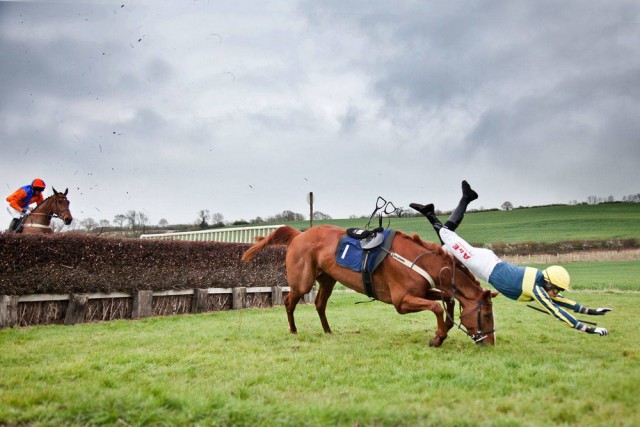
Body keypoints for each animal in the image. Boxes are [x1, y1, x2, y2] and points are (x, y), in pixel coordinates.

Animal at [242, 226, 498, 346]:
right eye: (486, 315)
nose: (490, 343)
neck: (419, 261)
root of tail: (298, 234)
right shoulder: (402, 301)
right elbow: (436, 306)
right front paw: (438, 337)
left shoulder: (423, 291)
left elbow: (448, 298)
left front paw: (444, 328)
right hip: (302, 282)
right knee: (290, 301)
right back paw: (294, 330)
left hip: (328, 279)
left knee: (320, 304)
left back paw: (328, 331)